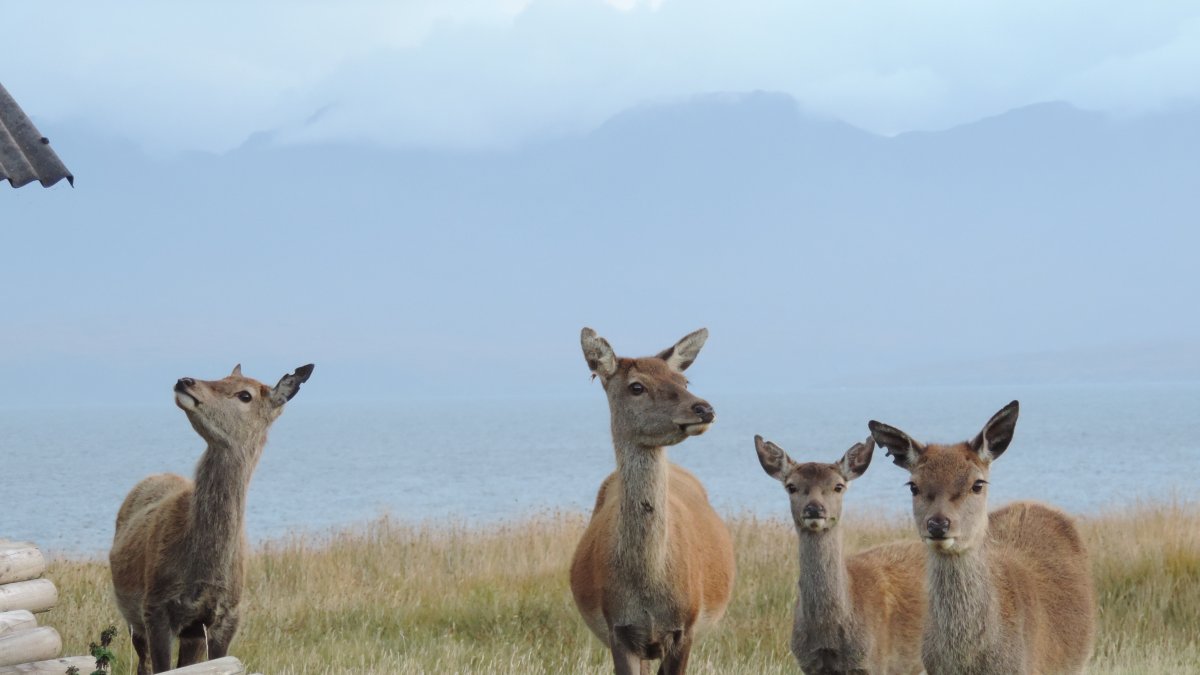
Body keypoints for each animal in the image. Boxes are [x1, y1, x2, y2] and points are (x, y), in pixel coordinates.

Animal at [109, 363, 314, 674]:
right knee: (143, 664)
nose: (185, 380)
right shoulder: (154, 607)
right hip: (133, 617)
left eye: (245, 395)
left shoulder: (227, 616)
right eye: (222, 376)